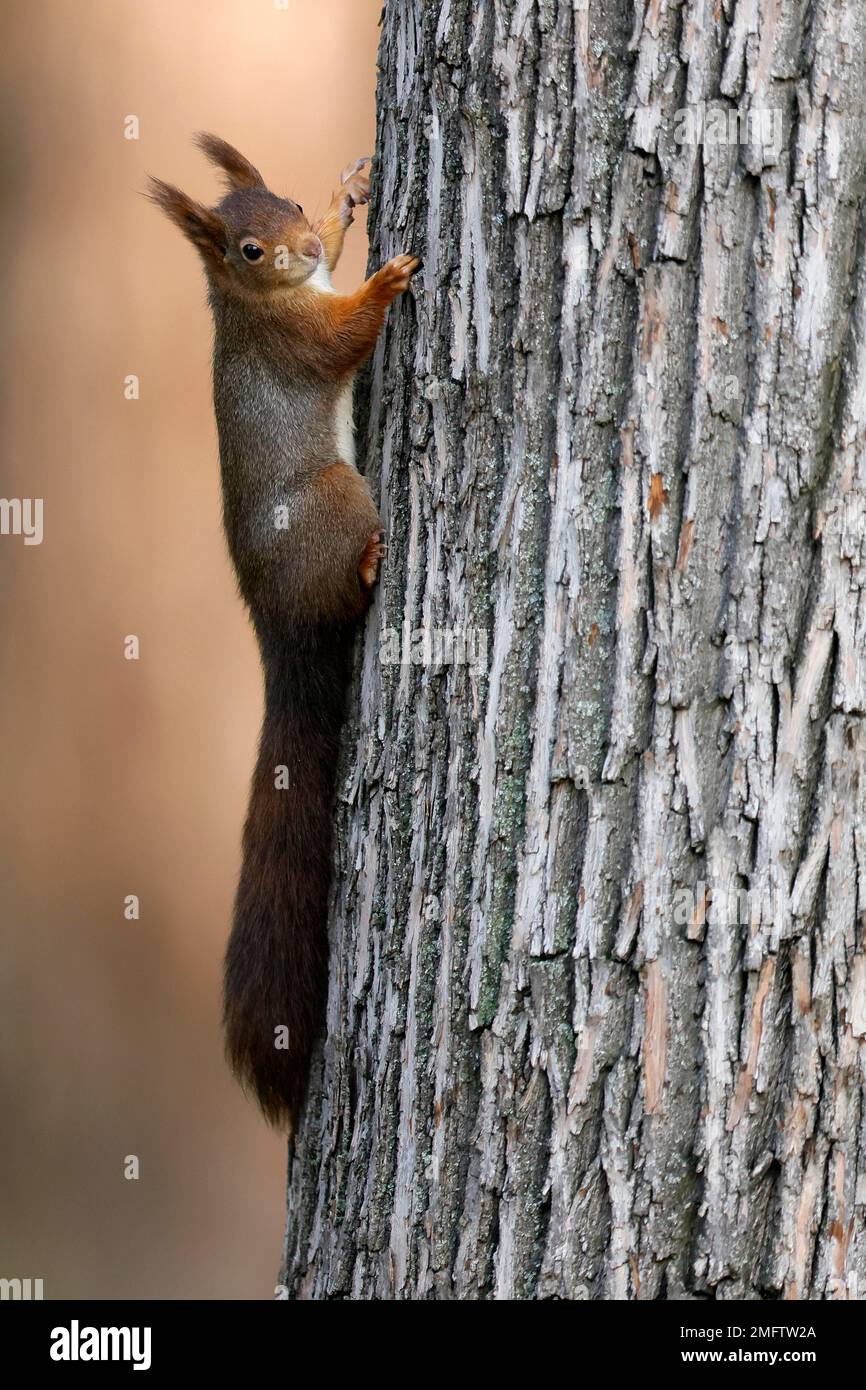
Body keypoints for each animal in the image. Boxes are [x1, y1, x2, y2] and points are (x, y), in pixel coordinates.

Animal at [150, 132, 422, 1128]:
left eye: (291, 204)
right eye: (247, 251)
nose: (301, 246)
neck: (257, 301)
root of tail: (277, 630)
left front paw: (351, 204)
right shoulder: (296, 339)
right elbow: (342, 336)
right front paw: (385, 283)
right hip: (336, 500)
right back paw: (372, 563)